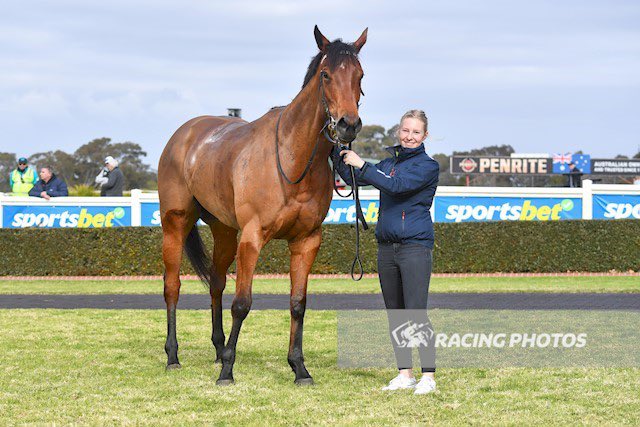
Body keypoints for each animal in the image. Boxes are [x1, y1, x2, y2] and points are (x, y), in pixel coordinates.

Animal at [158, 26, 367, 385]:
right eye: (326, 74)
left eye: (359, 75)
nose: (347, 124)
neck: (292, 160)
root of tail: (183, 135)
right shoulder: (252, 238)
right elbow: (242, 303)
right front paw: (228, 371)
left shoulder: (306, 240)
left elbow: (298, 303)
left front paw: (299, 367)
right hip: (176, 223)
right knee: (173, 286)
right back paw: (174, 355)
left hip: (224, 231)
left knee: (216, 283)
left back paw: (218, 348)